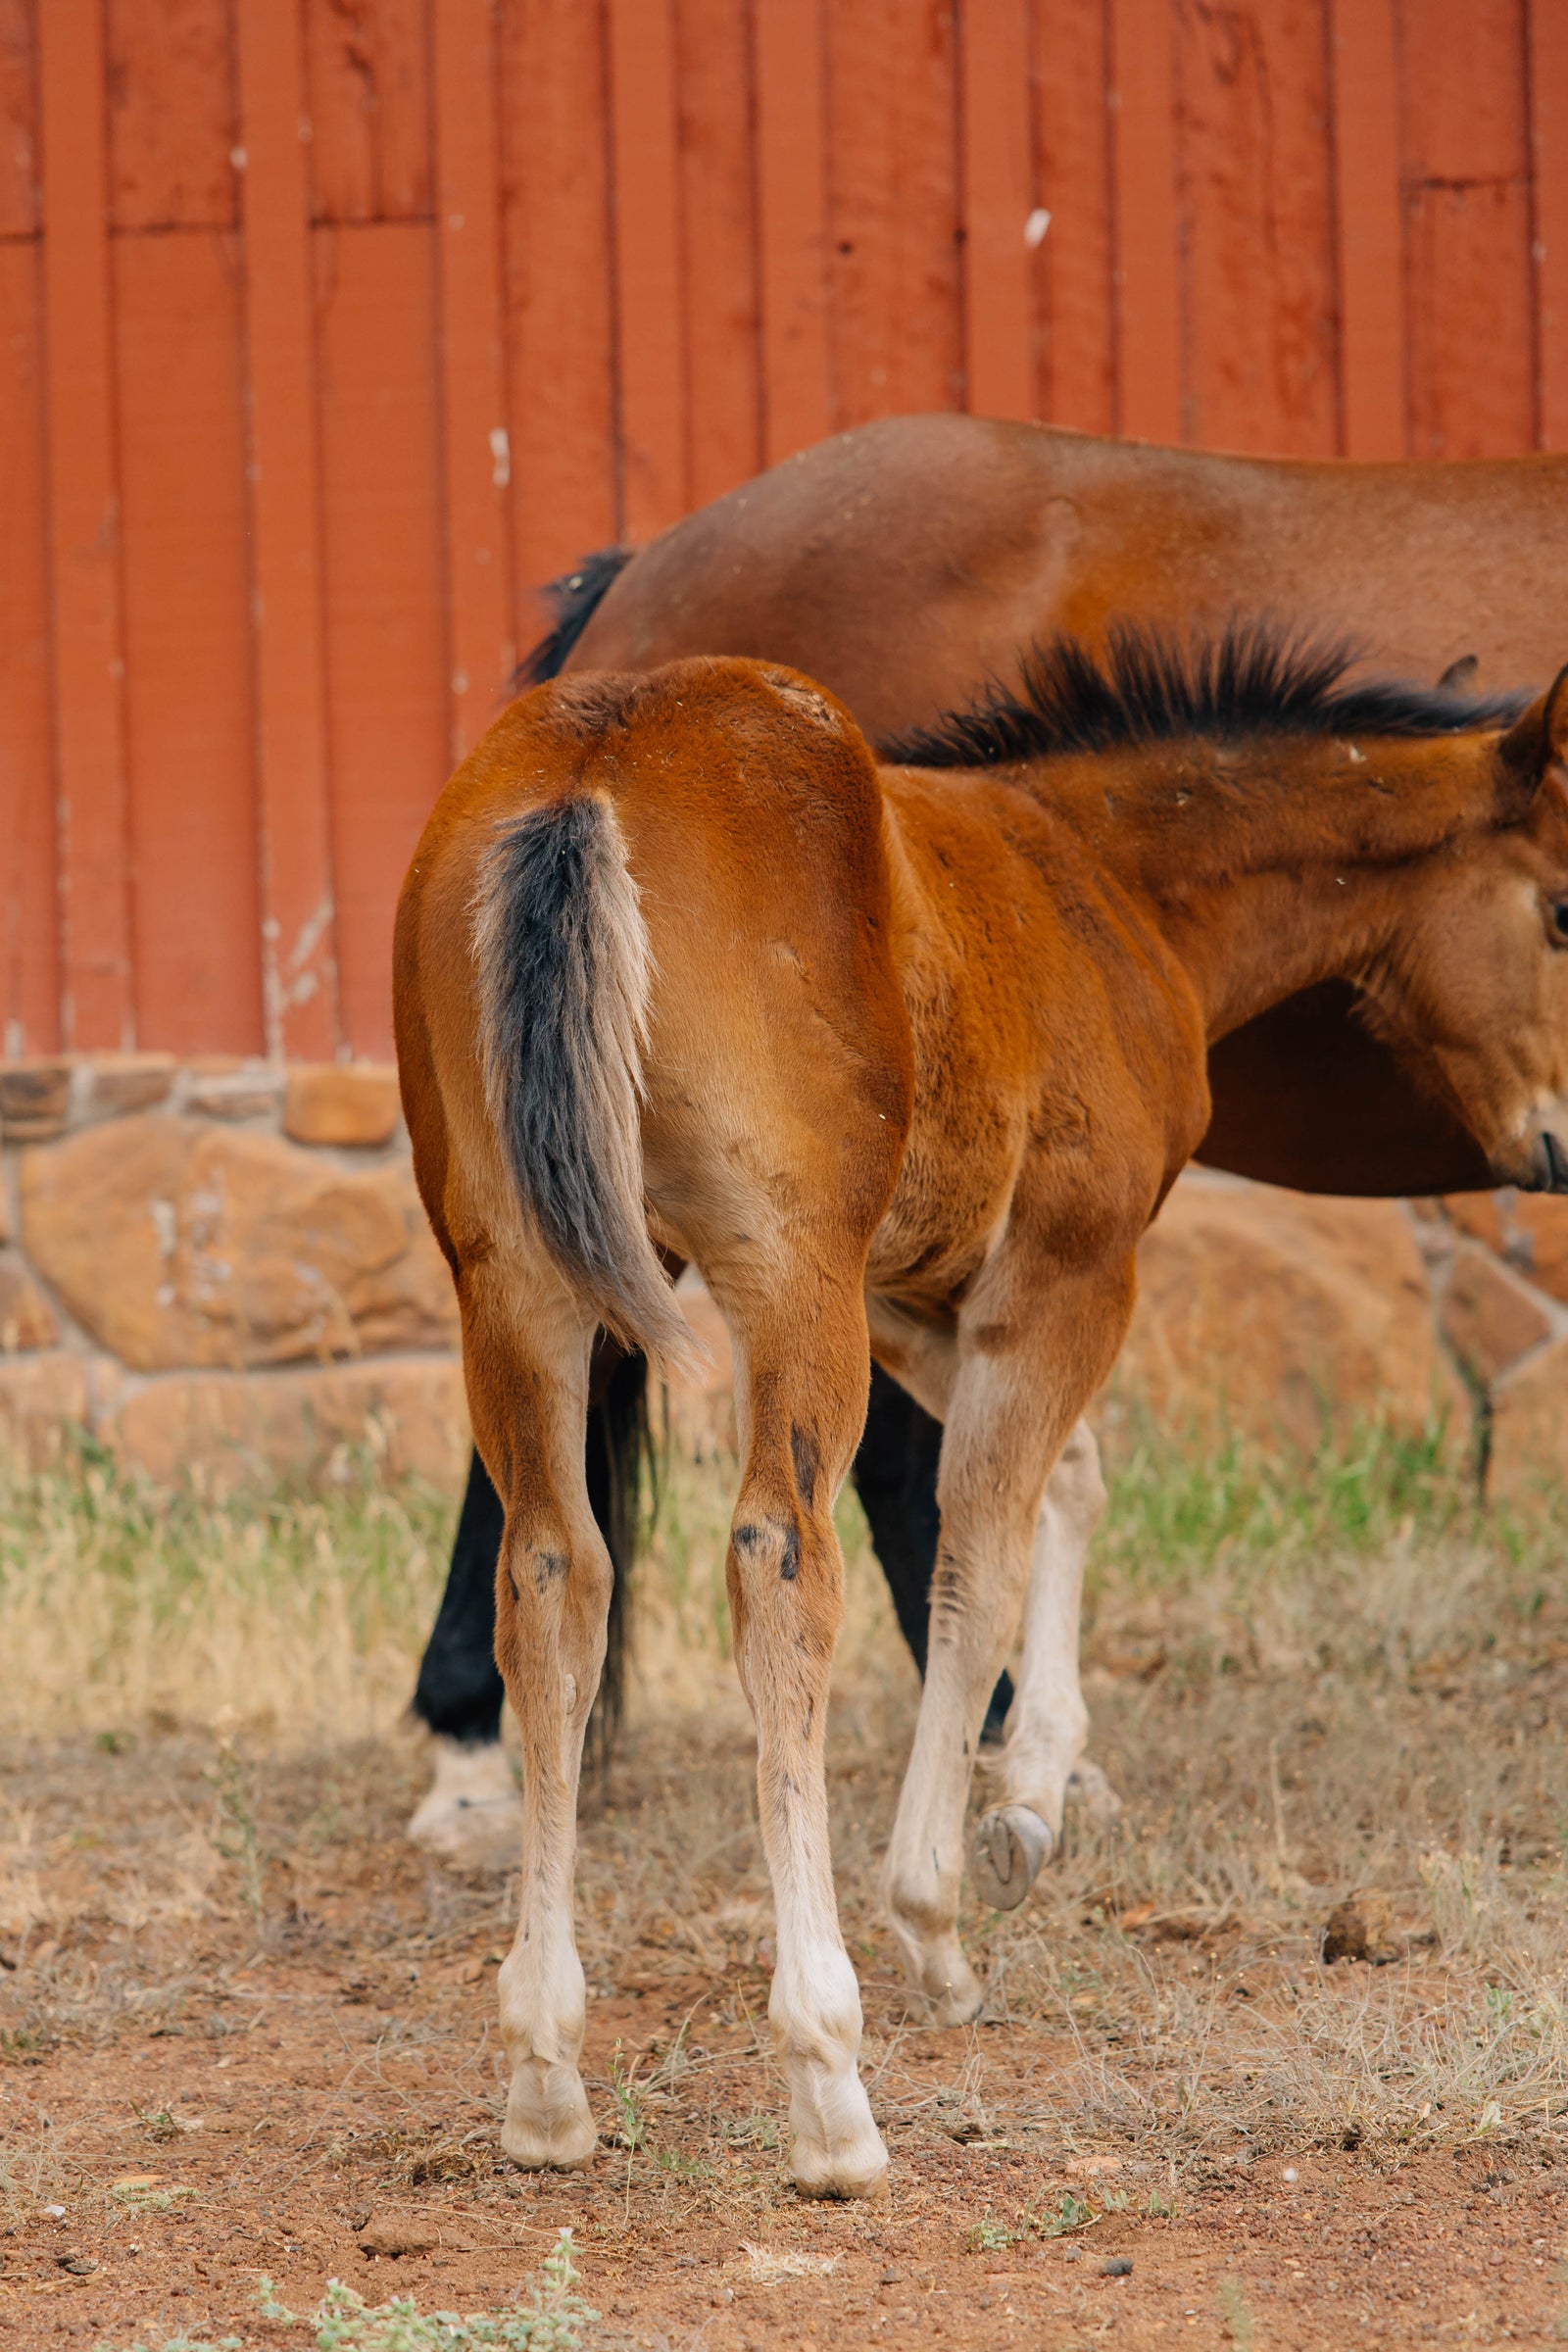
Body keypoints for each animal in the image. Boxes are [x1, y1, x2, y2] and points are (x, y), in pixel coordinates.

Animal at [395, 626, 1568, 2197]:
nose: (1553, 1146)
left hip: (517, 1277)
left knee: (551, 1574)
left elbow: (1062, 1484)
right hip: (786, 1272)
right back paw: (829, 2087)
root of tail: (591, 762)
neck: (1103, 881)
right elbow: (980, 1546)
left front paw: (1034, 1790)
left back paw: (542, 2072)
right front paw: (943, 1910)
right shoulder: (1065, 1268)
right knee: (779, 1564)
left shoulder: (918, 1294)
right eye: (1562, 910)